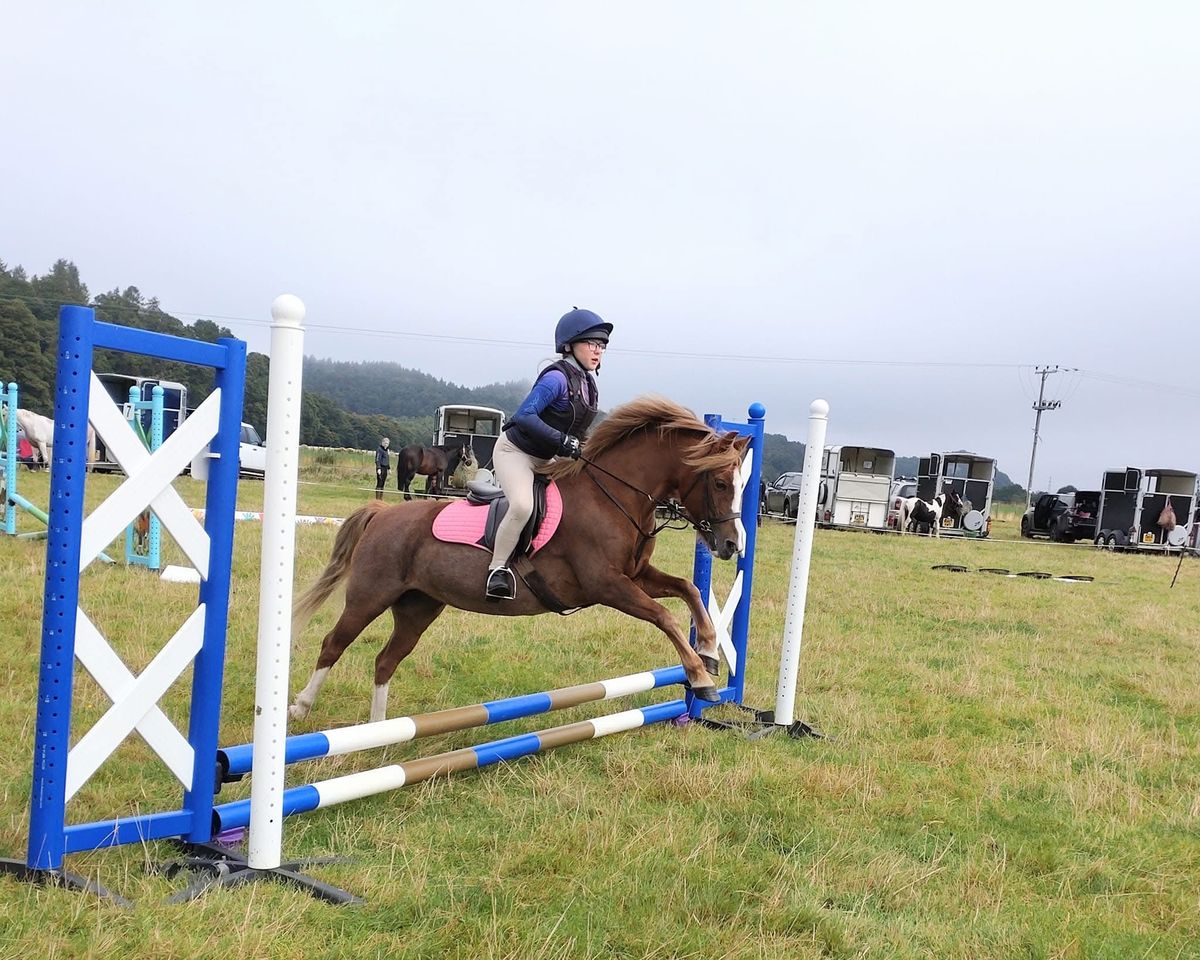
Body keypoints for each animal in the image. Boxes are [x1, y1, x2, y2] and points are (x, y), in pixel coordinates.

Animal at [288, 396, 748, 720]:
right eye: (720, 483)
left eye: (742, 483)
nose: (732, 546)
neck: (614, 496)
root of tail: (382, 514)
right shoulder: (607, 584)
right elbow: (664, 616)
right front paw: (701, 677)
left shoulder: (636, 575)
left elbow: (687, 590)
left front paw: (709, 650)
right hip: (370, 595)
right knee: (333, 644)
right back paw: (301, 707)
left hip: (419, 606)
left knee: (386, 660)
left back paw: (379, 733)